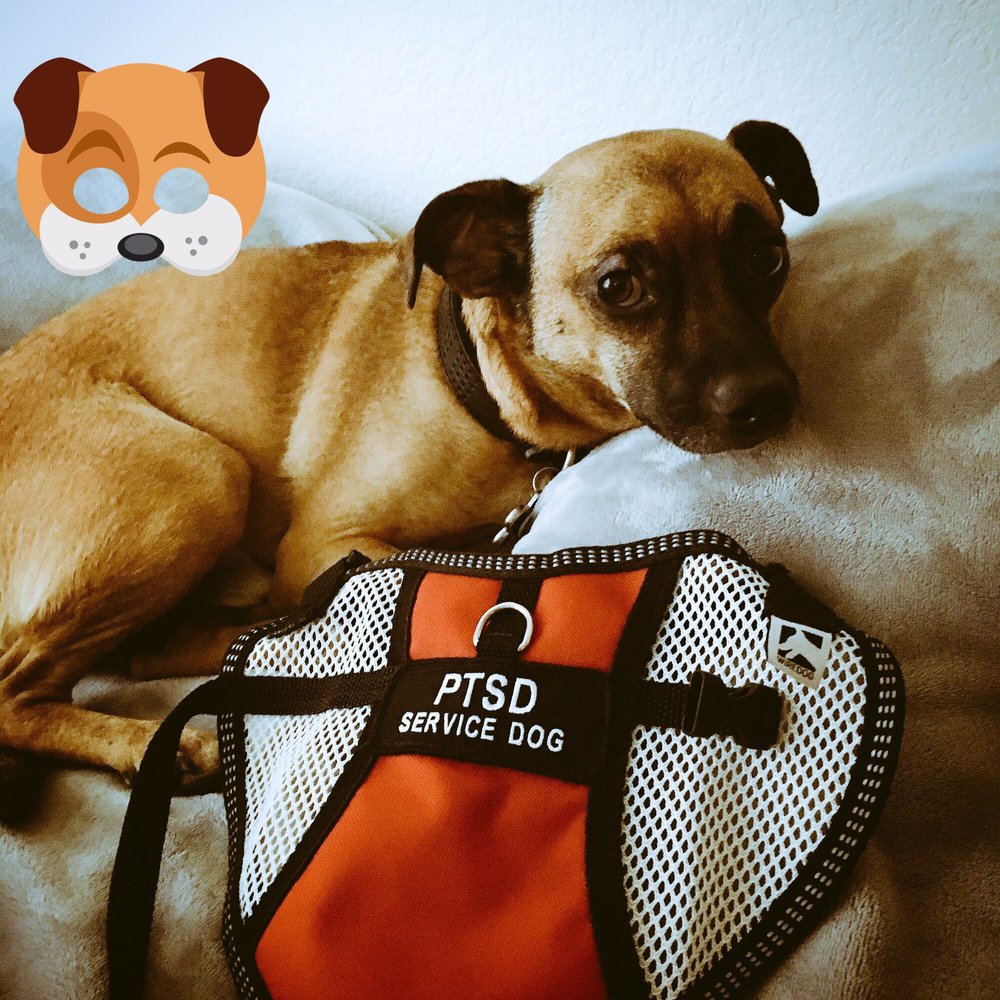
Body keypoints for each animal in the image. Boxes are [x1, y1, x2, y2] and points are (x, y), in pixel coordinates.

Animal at [0, 106, 817, 813]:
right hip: (199, 479)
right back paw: (158, 745)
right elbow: (416, 564)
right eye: (618, 286)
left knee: (159, 653)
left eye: (768, 257)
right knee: (18, 692)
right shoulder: (325, 540)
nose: (768, 399)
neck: (486, 391)